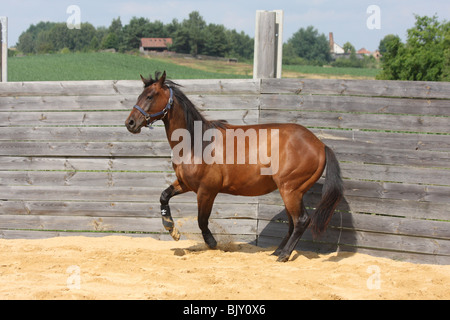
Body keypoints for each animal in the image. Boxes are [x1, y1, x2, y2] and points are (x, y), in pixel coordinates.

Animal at [125, 71, 342, 262]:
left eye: (150, 96)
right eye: (140, 95)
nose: (130, 123)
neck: (196, 143)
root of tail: (320, 145)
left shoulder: (207, 190)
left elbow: (202, 220)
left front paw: (212, 243)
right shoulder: (185, 184)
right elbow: (164, 196)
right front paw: (171, 229)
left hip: (290, 190)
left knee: (302, 220)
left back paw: (284, 255)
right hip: (291, 192)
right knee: (293, 222)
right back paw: (277, 251)